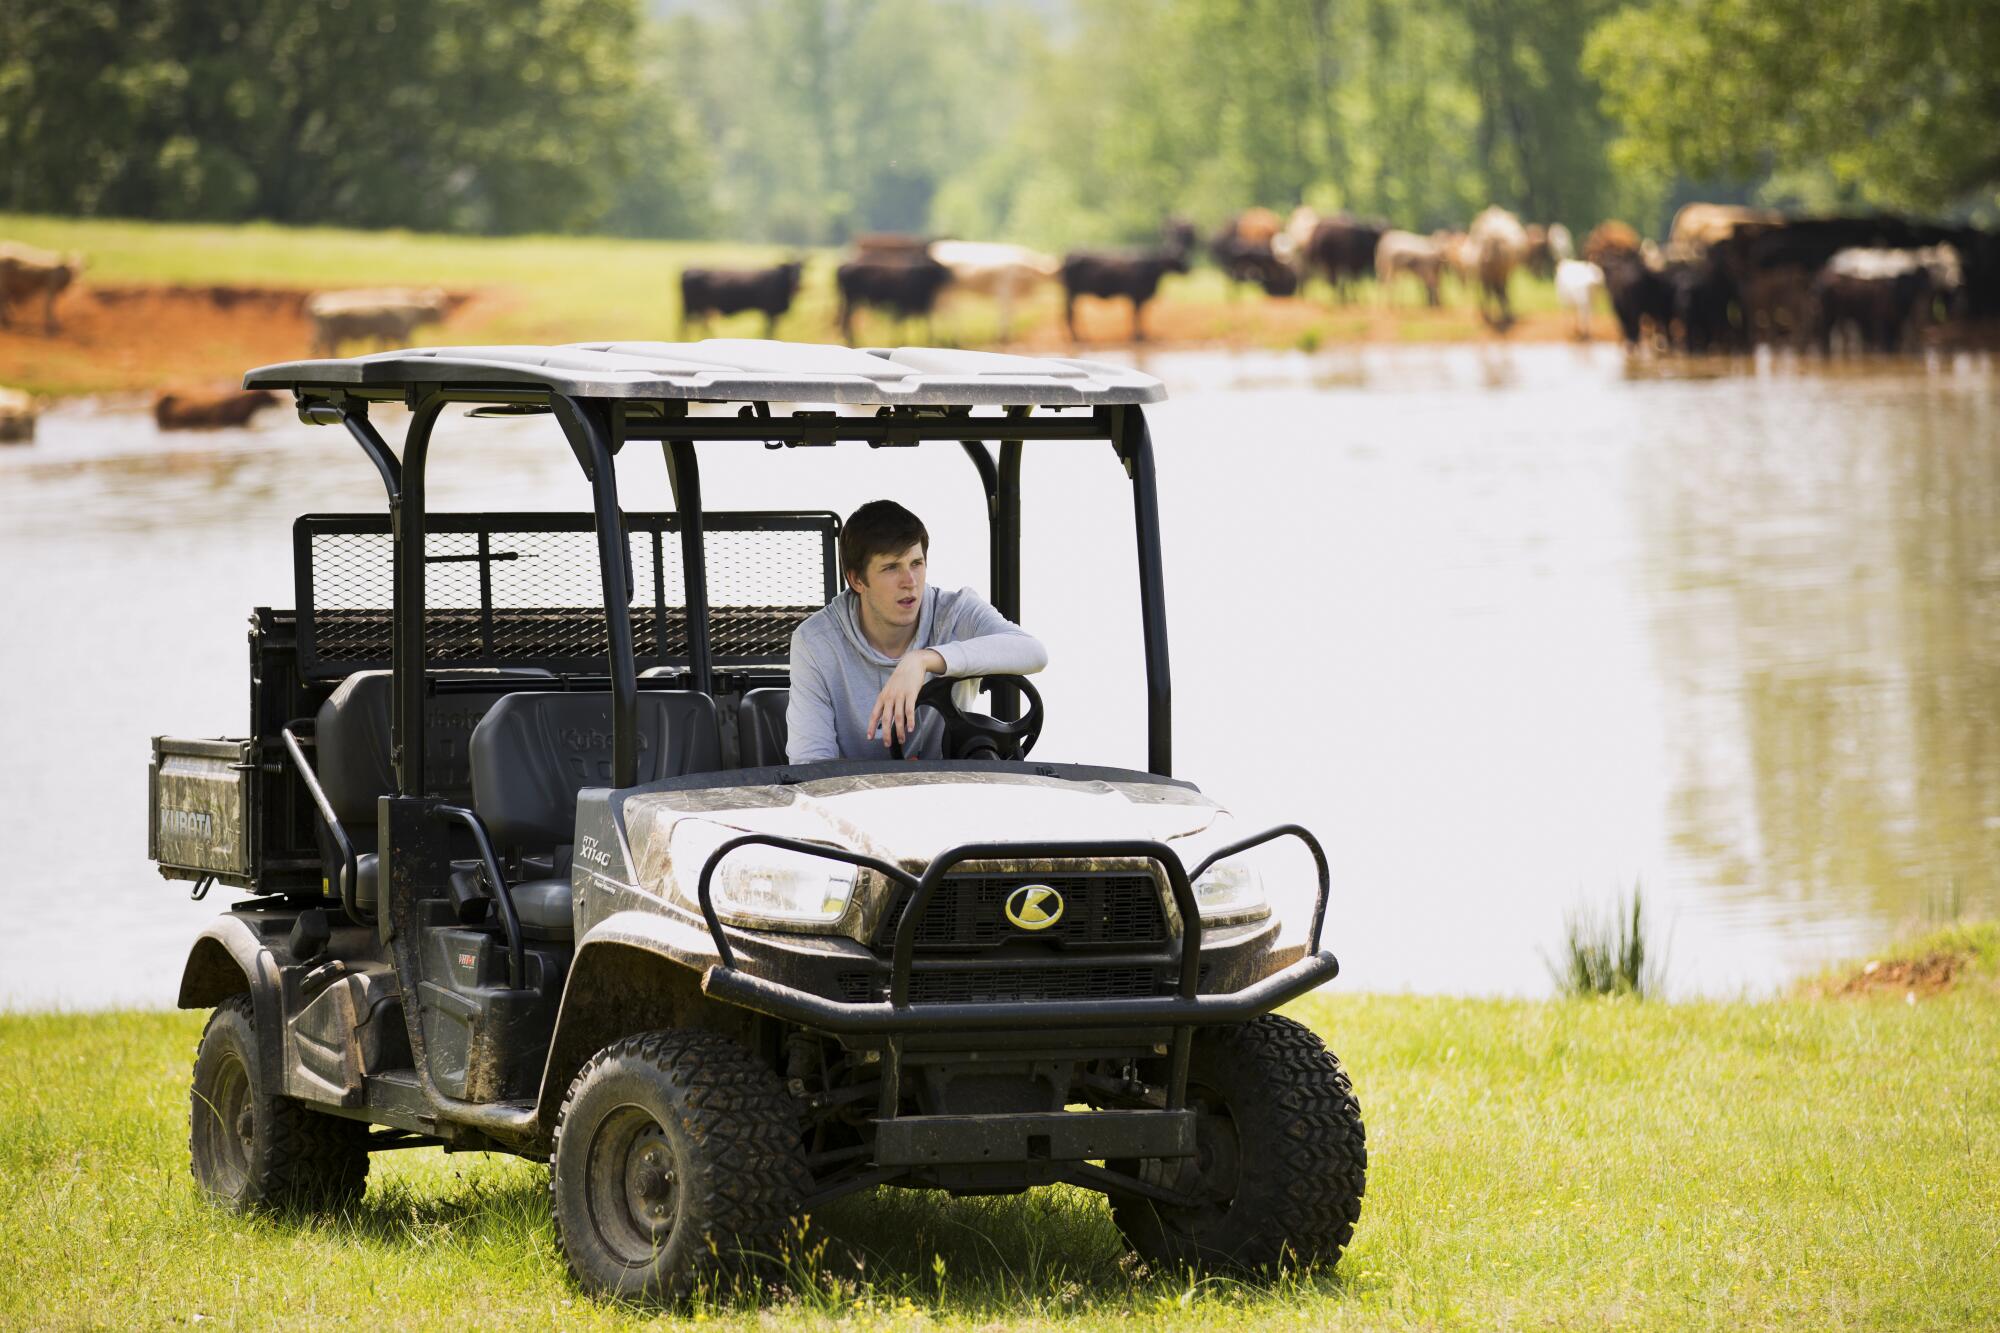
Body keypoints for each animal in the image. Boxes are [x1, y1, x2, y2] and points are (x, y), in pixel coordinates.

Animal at [304, 288, 454, 356]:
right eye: (440, 309)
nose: (445, 321)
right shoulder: (400, 334)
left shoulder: (385, 335)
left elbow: (383, 348)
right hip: (333, 336)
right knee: (329, 349)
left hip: (325, 334)